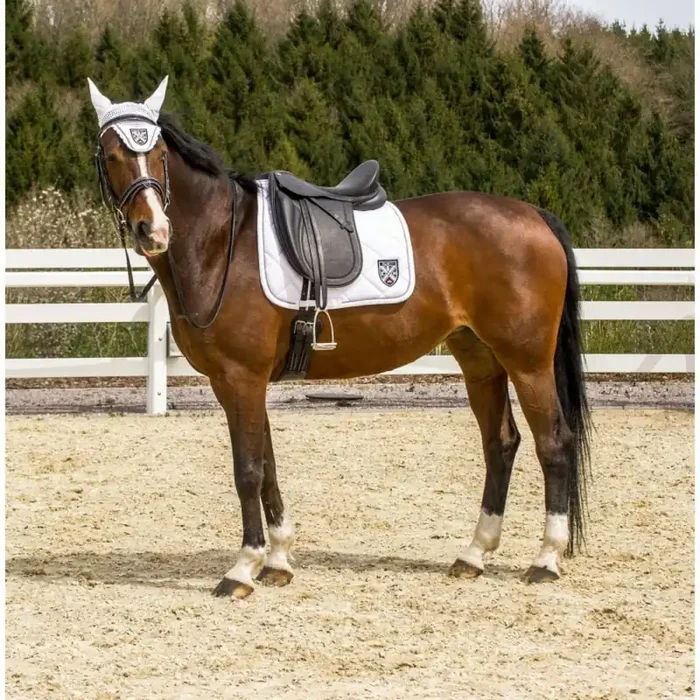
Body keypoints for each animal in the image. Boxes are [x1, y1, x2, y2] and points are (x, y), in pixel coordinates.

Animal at [88, 77, 591, 599]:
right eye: (111, 154)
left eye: (158, 151)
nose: (153, 230)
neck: (221, 241)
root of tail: (534, 215)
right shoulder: (242, 384)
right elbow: (267, 467)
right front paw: (278, 562)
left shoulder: (241, 378)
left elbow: (247, 470)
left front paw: (243, 568)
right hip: (480, 359)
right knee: (500, 443)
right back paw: (473, 554)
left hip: (527, 361)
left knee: (554, 442)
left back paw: (546, 559)